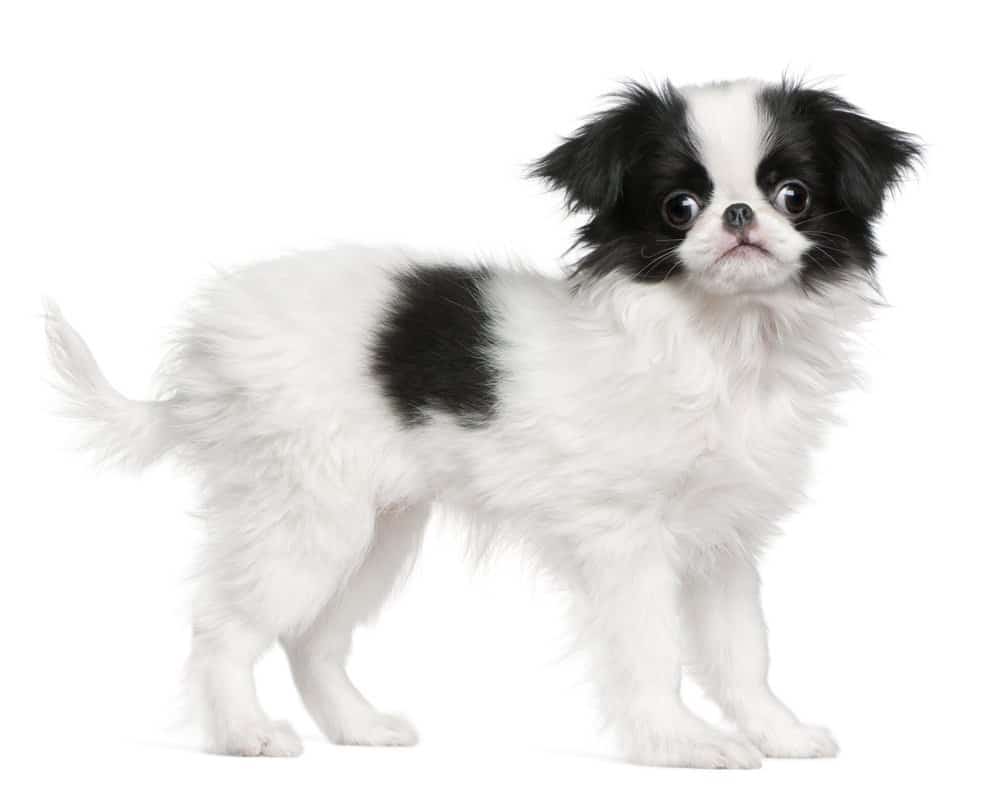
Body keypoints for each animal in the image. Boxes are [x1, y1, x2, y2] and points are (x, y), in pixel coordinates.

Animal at [47, 77, 920, 768]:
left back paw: (357, 728)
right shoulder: (627, 540)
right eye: (679, 208)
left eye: (793, 195)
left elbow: (743, 652)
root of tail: (206, 348)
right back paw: (243, 734)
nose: (739, 214)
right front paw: (679, 744)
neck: (719, 342)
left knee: (311, 638)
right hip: (306, 515)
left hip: (375, 529)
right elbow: (652, 649)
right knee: (223, 625)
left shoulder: (725, 544)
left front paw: (778, 735)